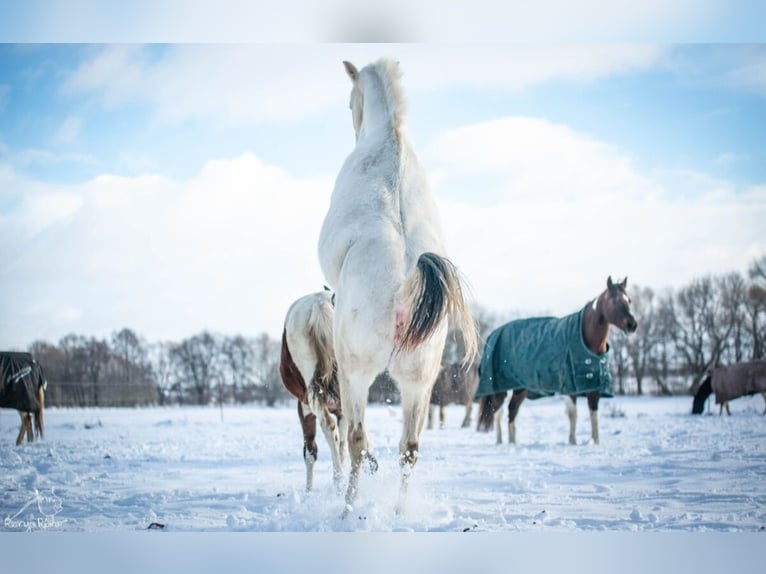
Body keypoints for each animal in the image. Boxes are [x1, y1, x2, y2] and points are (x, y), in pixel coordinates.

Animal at [280, 292, 348, 496]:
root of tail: (318, 303)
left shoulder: (303, 406)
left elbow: (310, 451)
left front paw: (309, 491)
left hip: (312, 399)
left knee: (328, 428)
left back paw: (338, 481)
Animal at [316, 58, 474, 516]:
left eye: (350, 100)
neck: (391, 138)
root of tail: (407, 279)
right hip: (418, 380)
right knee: (409, 447)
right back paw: (400, 511)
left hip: (356, 371)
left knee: (355, 438)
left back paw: (349, 508)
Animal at [476, 276, 640, 448]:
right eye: (614, 300)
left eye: (629, 300)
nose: (632, 325)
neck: (585, 339)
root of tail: (493, 334)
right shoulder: (569, 387)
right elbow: (573, 414)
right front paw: (572, 442)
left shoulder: (594, 387)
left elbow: (594, 415)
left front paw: (595, 442)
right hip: (499, 388)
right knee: (498, 412)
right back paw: (501, 442)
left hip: (520, 389)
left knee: (511, 410)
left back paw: (512, 442)